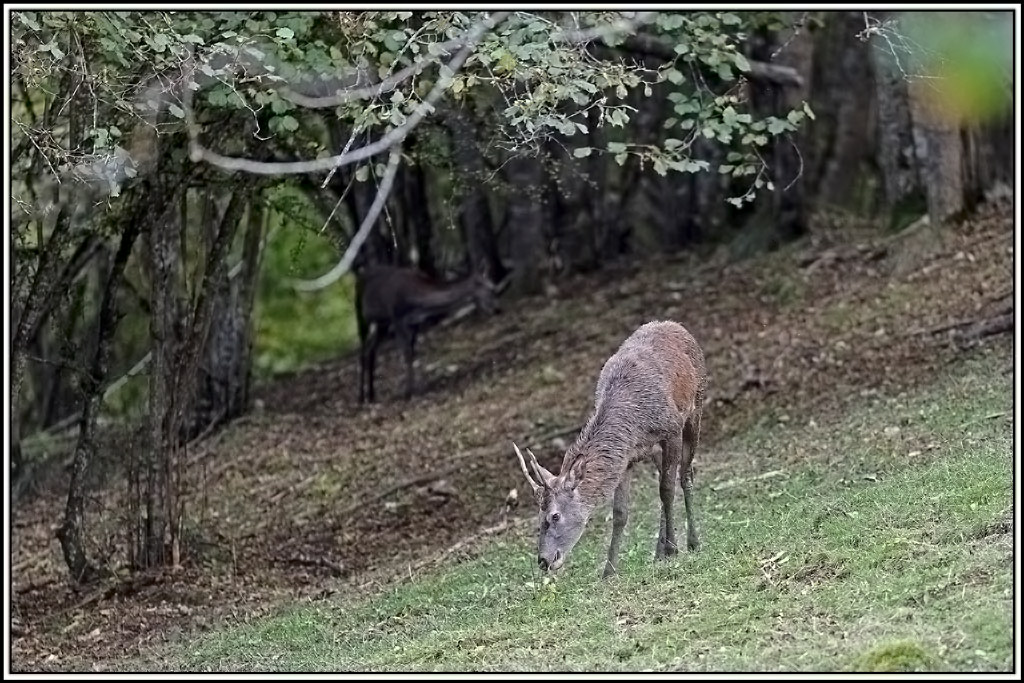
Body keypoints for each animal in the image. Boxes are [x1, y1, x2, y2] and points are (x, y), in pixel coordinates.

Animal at [355, 264, 500, 404]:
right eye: (491, 290)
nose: (495, 309)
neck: (420, 305)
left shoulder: (415, 323)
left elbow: (412, 353)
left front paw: (416, 388)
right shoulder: (397, 318)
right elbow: (406, 354)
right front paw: (407, 393)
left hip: (382, 324)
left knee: (371, 350)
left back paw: (371, 394)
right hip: (362, 316)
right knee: (363, 349)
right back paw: (361, 396)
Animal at [512, 320, 708, 578]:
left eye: (555, 515)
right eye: (538, 515)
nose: (543, 560)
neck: (635, 423)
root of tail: (673, 325)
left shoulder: (672, 429)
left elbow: (667, 491)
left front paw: (674, 549)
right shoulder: (626, 458)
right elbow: (620, 513)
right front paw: (610, 570)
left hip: (696, 406)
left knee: (685, 475)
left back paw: (691, 543)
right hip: (656, 450)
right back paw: (658, 553)